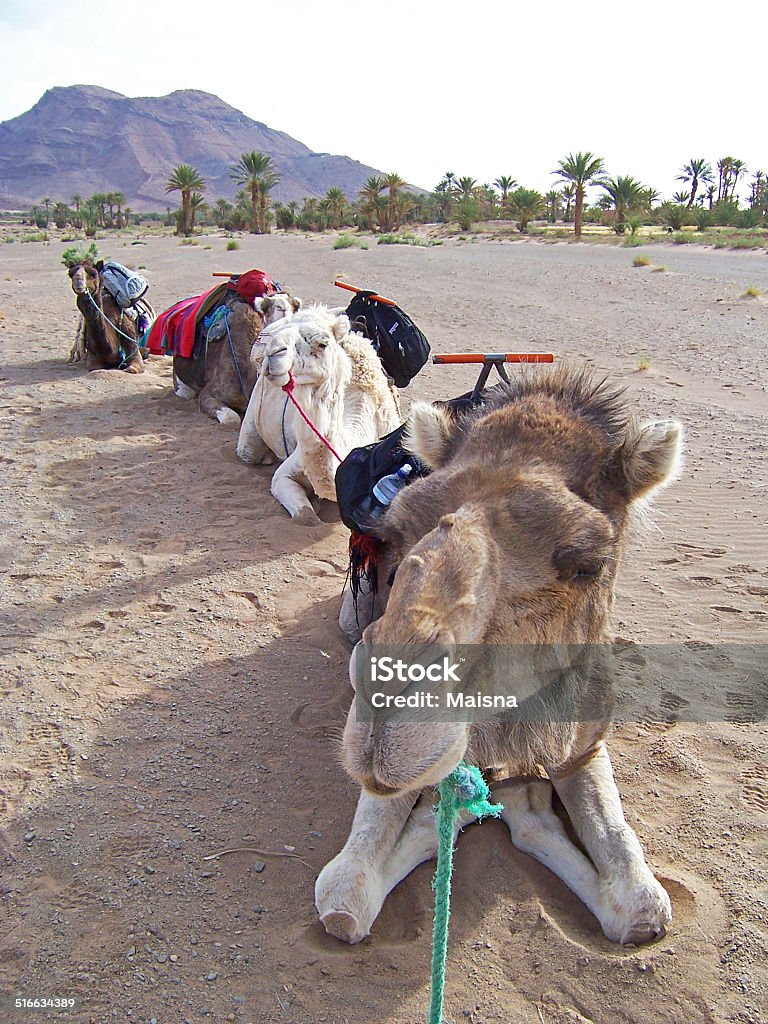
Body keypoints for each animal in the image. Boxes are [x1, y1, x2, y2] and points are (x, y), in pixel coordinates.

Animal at [234, 301, 403, 528]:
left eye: (322, 344)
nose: (274, 352)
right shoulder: (283, 476)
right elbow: (307, 517)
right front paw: (313, 505)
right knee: (248, 451)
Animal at [315, 368, 684, 942]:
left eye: (588, 563)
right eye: (396, 532)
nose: (389, 707)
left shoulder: (584, 743)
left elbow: (642, 905)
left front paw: (528, 804)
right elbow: (342, 899)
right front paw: (457, 815)